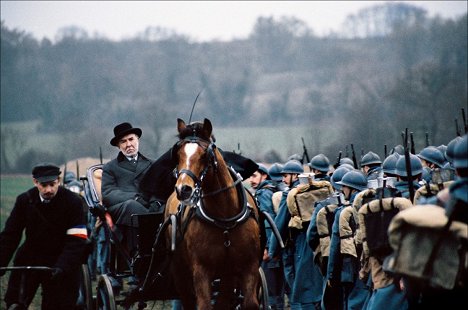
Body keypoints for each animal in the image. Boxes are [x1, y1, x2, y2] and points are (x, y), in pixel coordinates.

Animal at [165, 118, 262, 310]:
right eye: (178, 155)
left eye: (205, 155)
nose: (183, 189)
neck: (224, 219)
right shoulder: (201, 270)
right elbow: (204, 304)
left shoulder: (249, 267)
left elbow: (249, 303)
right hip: (180, 272)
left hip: (227, 275)